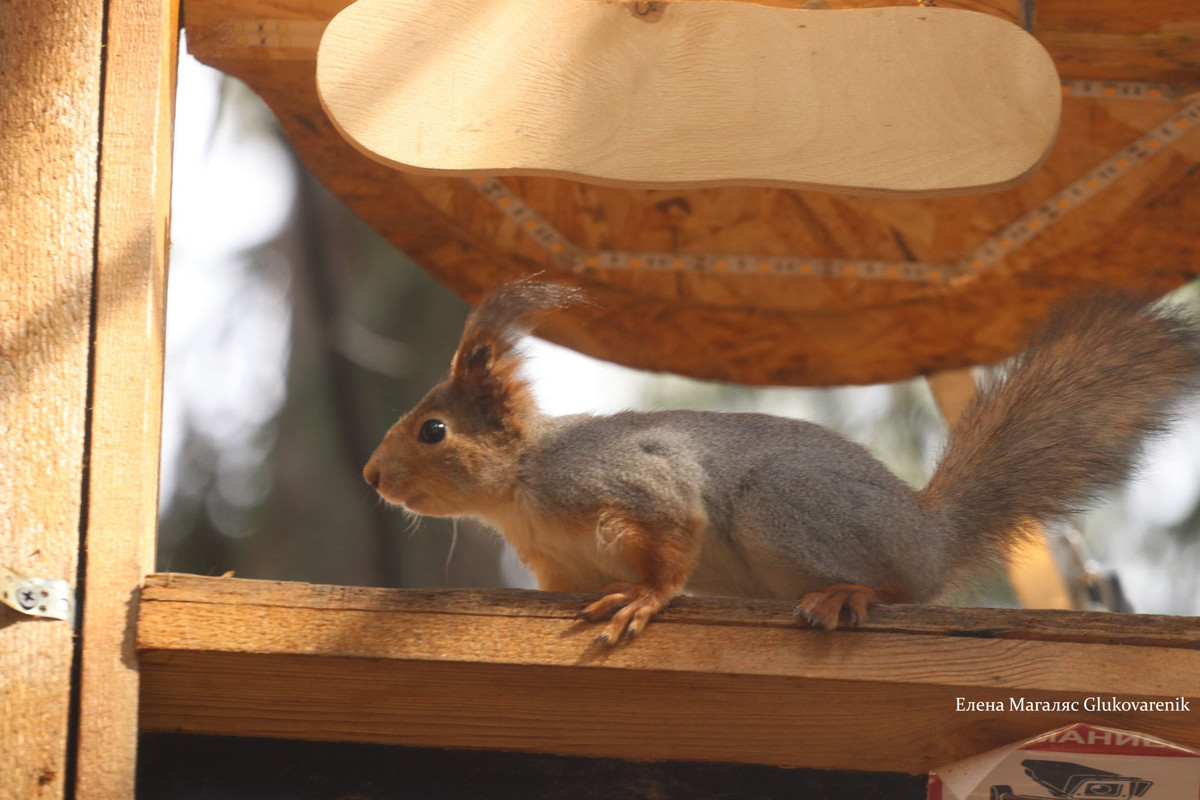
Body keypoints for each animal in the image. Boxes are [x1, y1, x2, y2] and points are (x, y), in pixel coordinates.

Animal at [362, 281, 1200, 642]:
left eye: (433, 431)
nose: (372, 478)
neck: (520, 489)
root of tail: (930, 534)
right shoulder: (558, 565)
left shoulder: (626, 478)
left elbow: (673, 534)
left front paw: (644, 600)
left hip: (788, 507)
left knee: (901, 590)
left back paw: (848, 595)